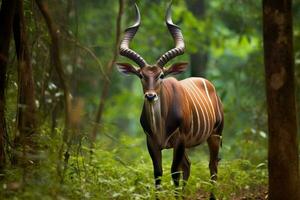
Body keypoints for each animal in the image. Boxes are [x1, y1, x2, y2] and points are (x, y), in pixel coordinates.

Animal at [116, 3, 224, 197]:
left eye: (161, 75)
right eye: (141, 75)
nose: (150, 96)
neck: (160, 126)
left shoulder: (179, 139)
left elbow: (174, 173)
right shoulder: (152, 142)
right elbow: (158, 174)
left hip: (215, 134)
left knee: (212, 166)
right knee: (189, 165)